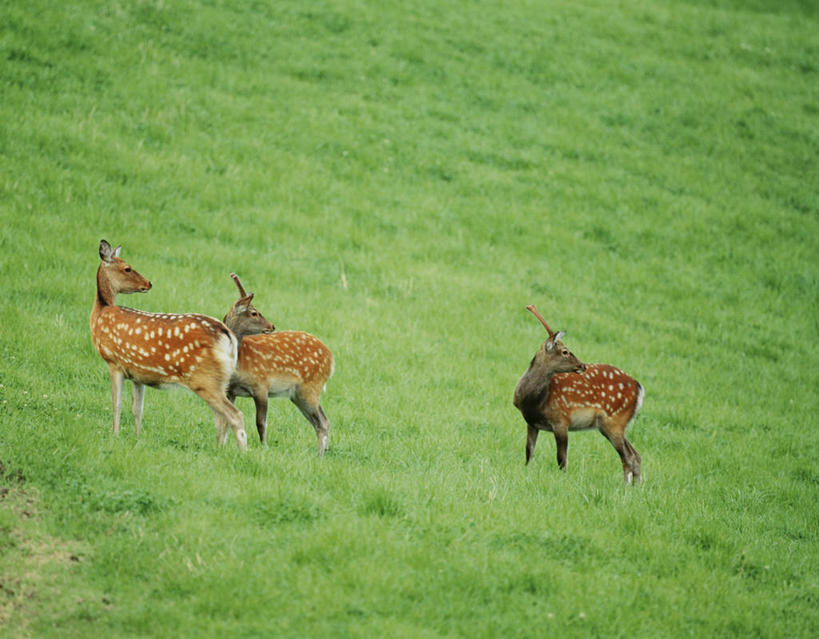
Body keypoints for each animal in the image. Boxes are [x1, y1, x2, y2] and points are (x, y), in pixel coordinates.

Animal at [90, 239, 248, 450]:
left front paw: (114, 435)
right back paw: (220, 449)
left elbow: (117, 403)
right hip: (220, 380)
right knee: (222, 418)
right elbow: (137, 408)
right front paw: (138, 437)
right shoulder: (137, 374)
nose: (148, 283)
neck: (101, 313)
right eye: (127, 268)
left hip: (204, 379)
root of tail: (228, 336)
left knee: (234, 415)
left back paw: (242, 452)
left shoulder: (113, 361)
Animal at [223, 272, 334, 458]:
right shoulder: (230, 391)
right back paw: (321, 454)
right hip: (297, 394)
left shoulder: (261, 385)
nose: (272, 325)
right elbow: (226, 418)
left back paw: (320, 455)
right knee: (320, 422)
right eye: (254, 313)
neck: (239, 363)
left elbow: (261, 422)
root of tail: (331, 359)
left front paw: (264, 447)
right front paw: (221, 445)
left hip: (310, 388)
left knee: (323, 421)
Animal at [512, 308, 648, 482]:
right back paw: (638, 486)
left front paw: (562, 479)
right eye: (565, 351)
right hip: (615, 424)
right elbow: (529, 452)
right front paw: (527, 472)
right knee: (636, 455)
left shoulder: (561, 420)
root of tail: (640, 389)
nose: (582, 365)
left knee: (628, 456)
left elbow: (561, 459)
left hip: (615, 420)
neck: (535, 401)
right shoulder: (531, 423)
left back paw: (626, 486)